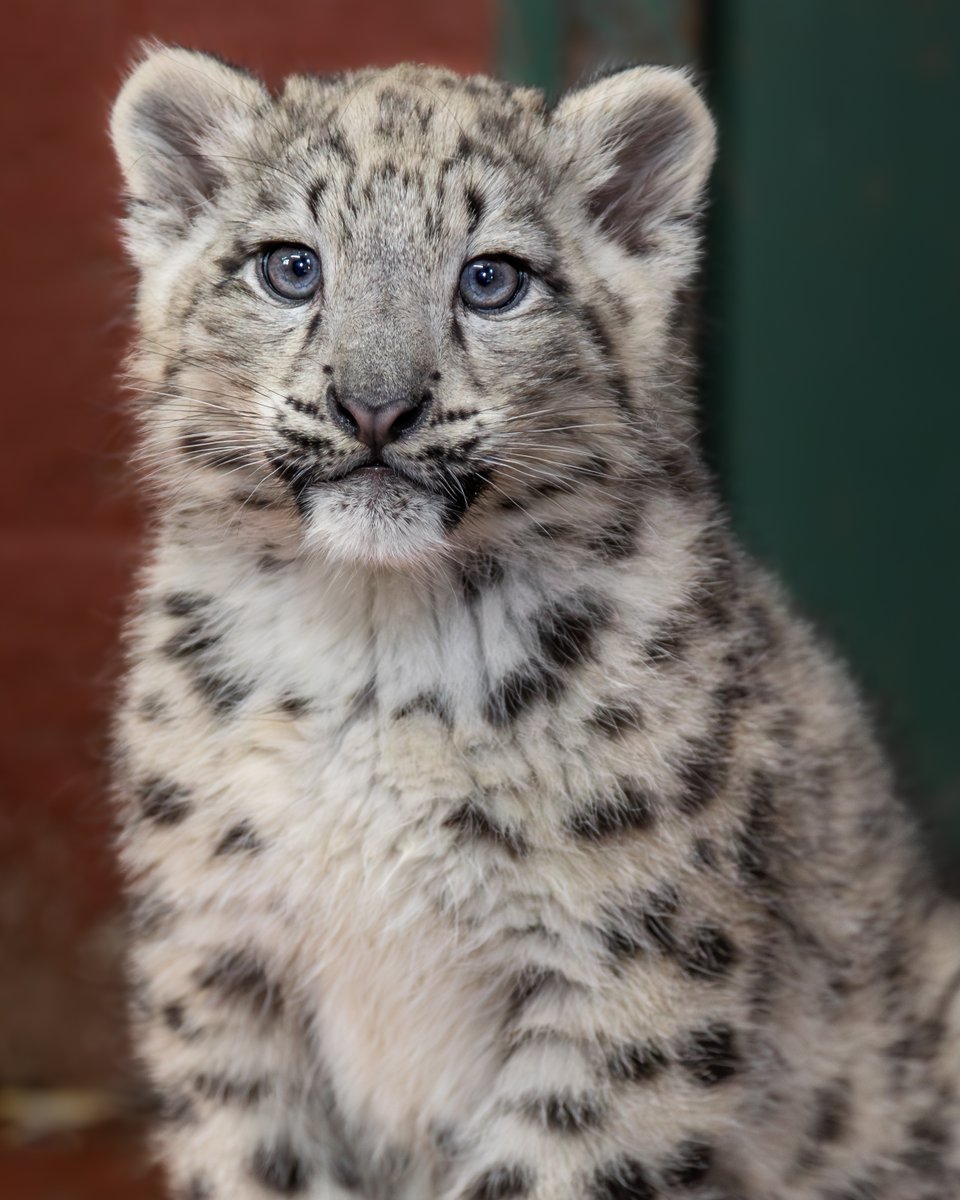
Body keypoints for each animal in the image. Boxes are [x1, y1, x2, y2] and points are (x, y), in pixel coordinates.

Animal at [108, 44, 960, 1200]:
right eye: (291, 267)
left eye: (492, 278)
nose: (376, 406)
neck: (377, 630)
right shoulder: (222, 954)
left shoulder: (624, 973)